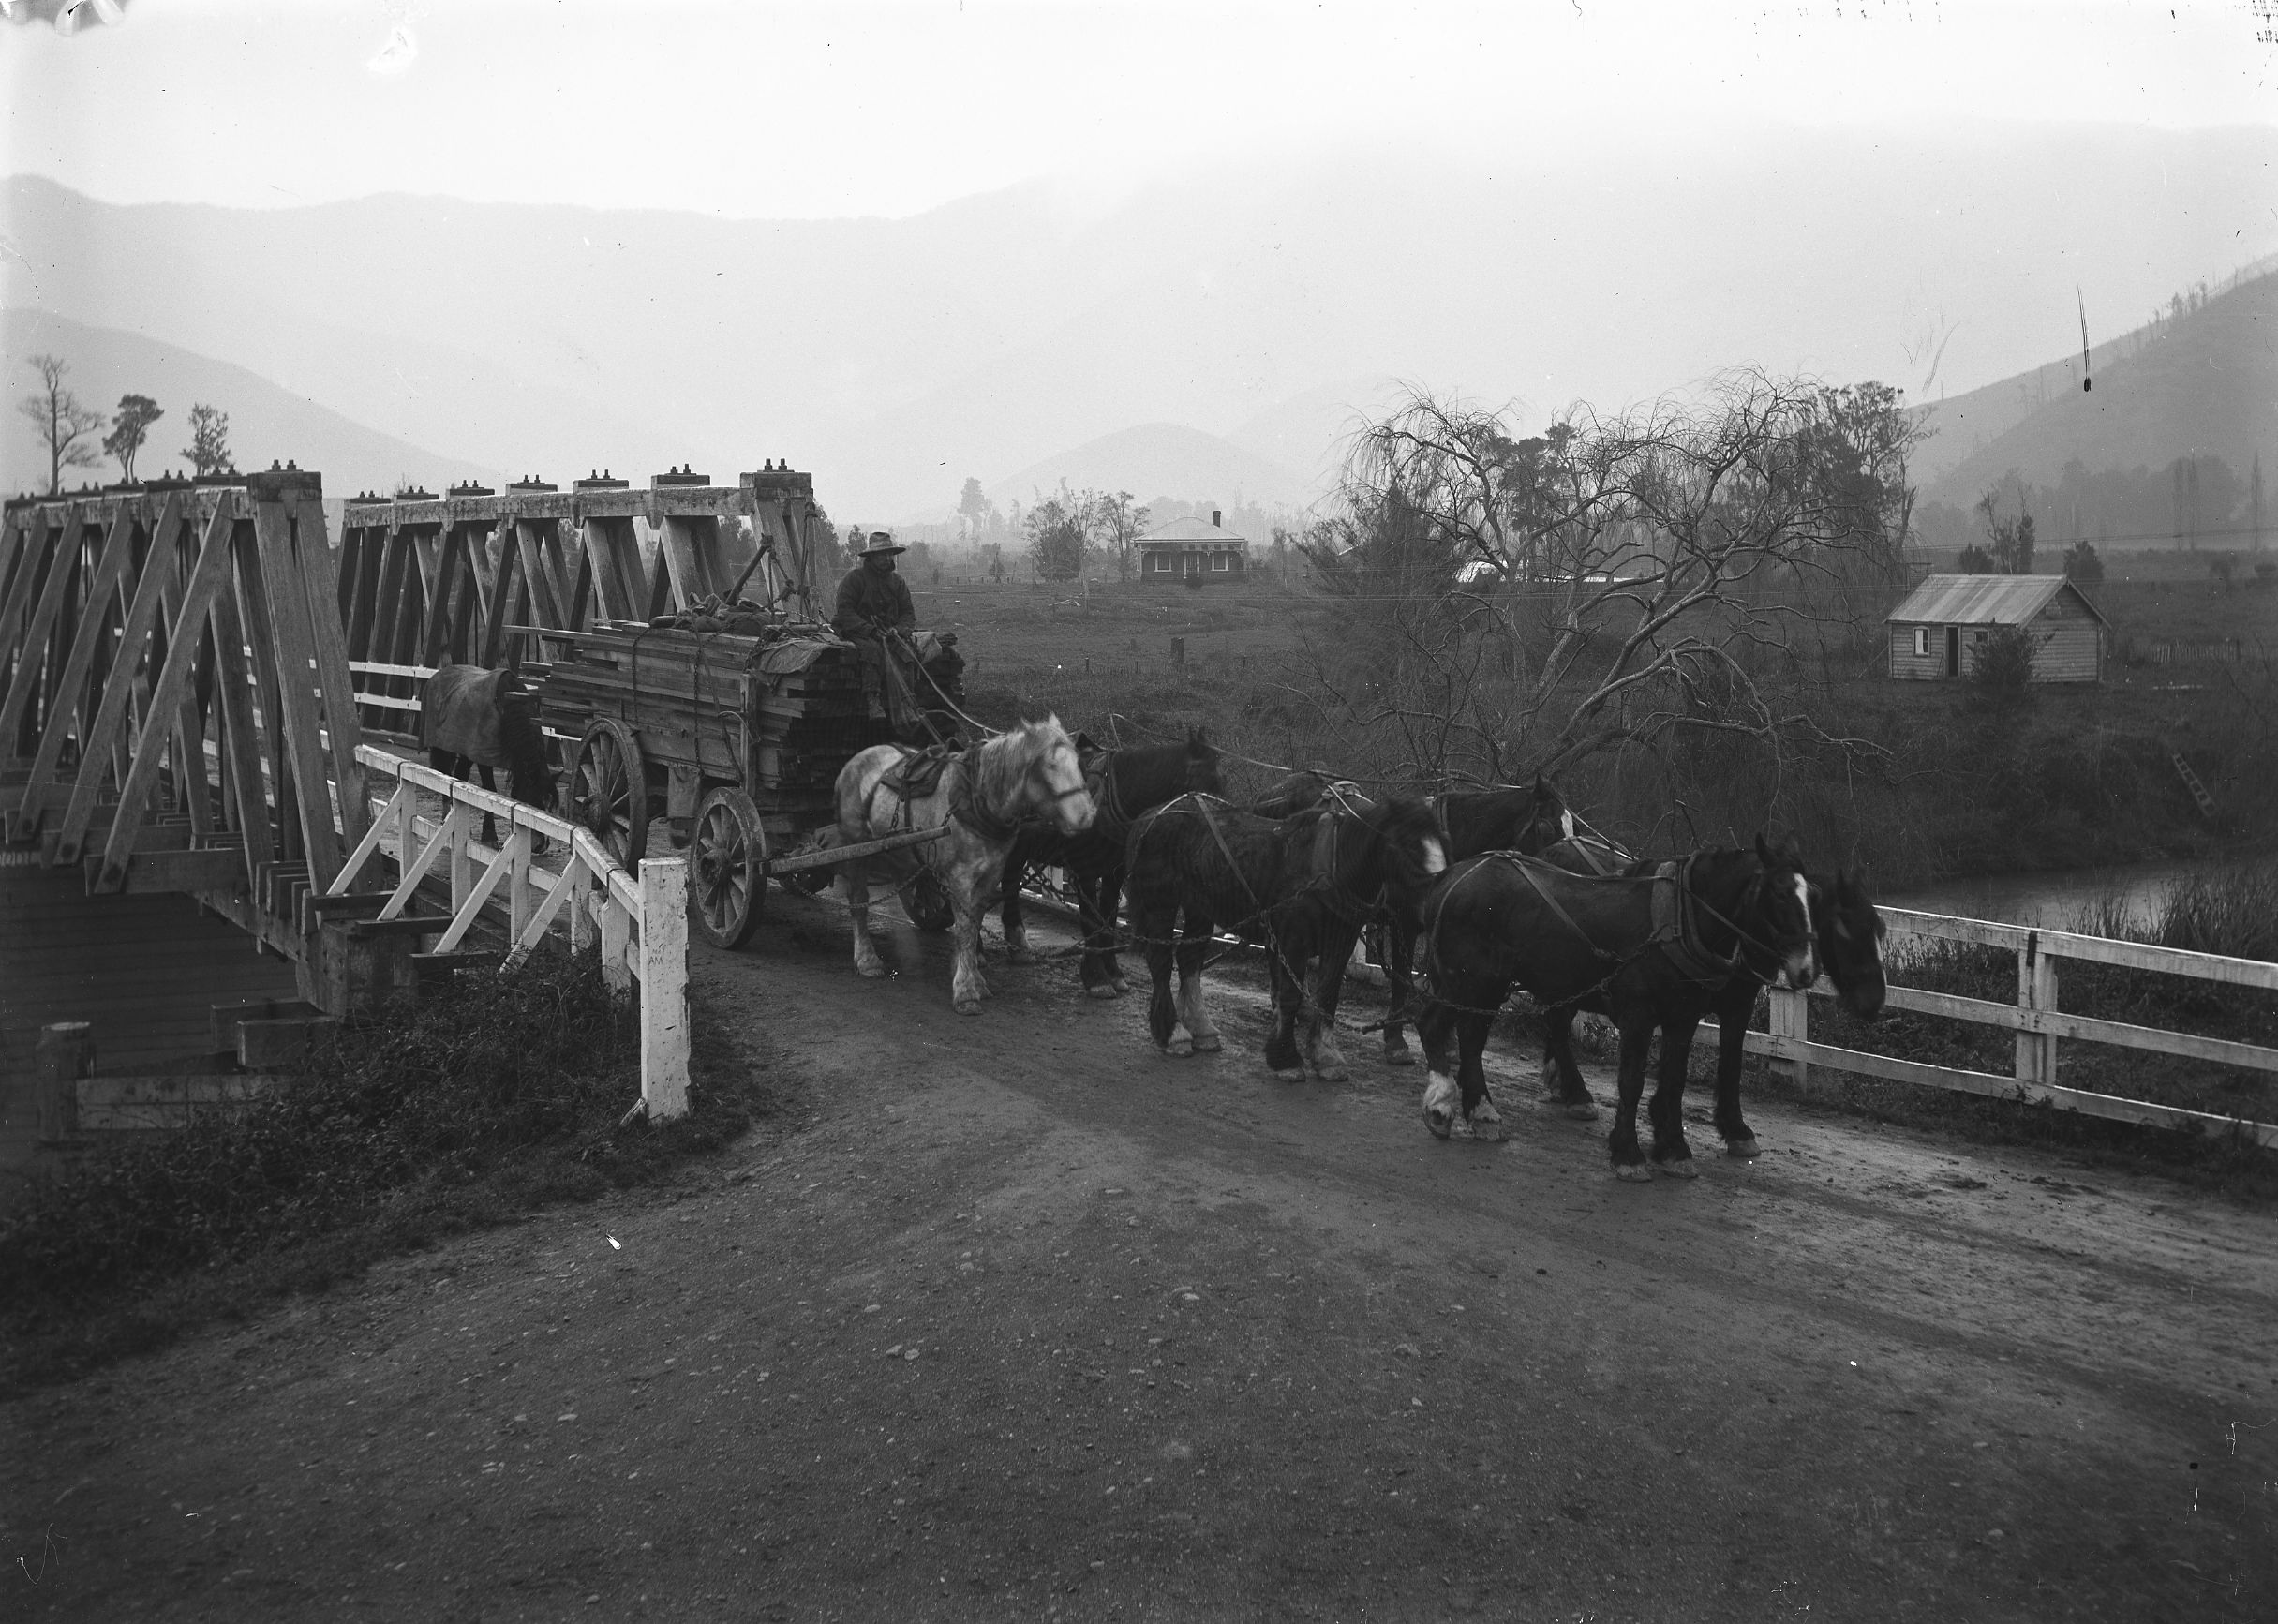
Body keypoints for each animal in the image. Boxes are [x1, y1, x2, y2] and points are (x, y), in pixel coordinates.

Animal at [833, 723, 1097, 1011]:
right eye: (1049, 766)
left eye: (1079, 763)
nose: (1087, 815)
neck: (977, 801)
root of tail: (855, 760)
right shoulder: (960, 879)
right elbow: (965, 931)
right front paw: (965, 991)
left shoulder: (989, 877)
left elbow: (975, 923)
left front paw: (975, 979)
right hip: (856, 846)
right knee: (858, 899)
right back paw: (867, 959)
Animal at [992, 728, 1221, 992]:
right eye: (1204, 781)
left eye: (1221, 781)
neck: (1109, 800)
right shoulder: (1084, 870)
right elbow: (1092, 921)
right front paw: (1096, 978)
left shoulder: (1115, 872)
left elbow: (1108, 921)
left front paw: (1113, 972)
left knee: (1009, 882)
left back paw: (1017, 943)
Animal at [1129, 783, 1449, 1075]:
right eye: (1409, 844)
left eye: (1442, 843)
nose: (1437, 902)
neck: (1332, 864)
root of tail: (1154, 814)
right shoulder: (1294, 939)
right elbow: (1291, 996)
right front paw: (1286, 1059)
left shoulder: (1340, 941)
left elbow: (1328, 994)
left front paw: (1325, 1056)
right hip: (1161, 904)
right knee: (1160, 962)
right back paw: (1173, 1033)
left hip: (1199, 908)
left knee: (1189, 961)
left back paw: (1202, 1030)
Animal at [1412, 838, 1822, 1175]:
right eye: (1779, 893)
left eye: (1813, 896)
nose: (1806, 970)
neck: (1678, 921)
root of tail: (1451, 877)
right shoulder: (1639, 1015)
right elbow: (1632, 1080)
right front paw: (1628, 1152)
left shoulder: (1684, 1017)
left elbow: (1676, 1078)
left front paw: (1673, 1148)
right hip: (1472, 982)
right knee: (1445, 1030)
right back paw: (1451, 1107)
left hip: (1483, 986)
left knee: (1465, 1035)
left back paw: (1478, 1112)